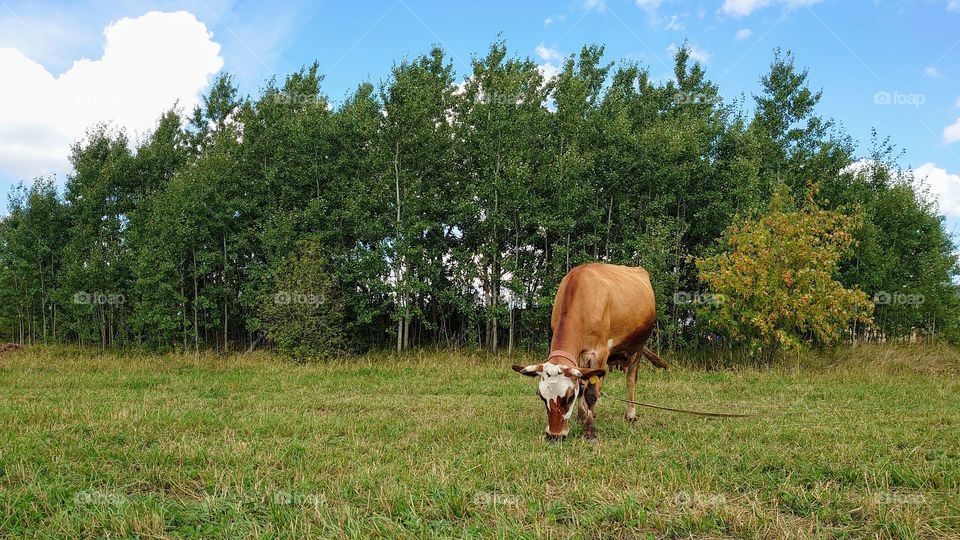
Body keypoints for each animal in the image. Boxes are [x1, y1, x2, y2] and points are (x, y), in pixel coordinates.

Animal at [510, 264, 668, 440]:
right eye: (542, 396)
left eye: (569, 397)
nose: (554, 435)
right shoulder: (579, 358)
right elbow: (583, 386)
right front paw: (582, 416)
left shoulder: (599, 352)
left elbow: (591, 393)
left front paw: (589, 431)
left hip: (638, 346)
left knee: (630, 380)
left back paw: (630, 414)